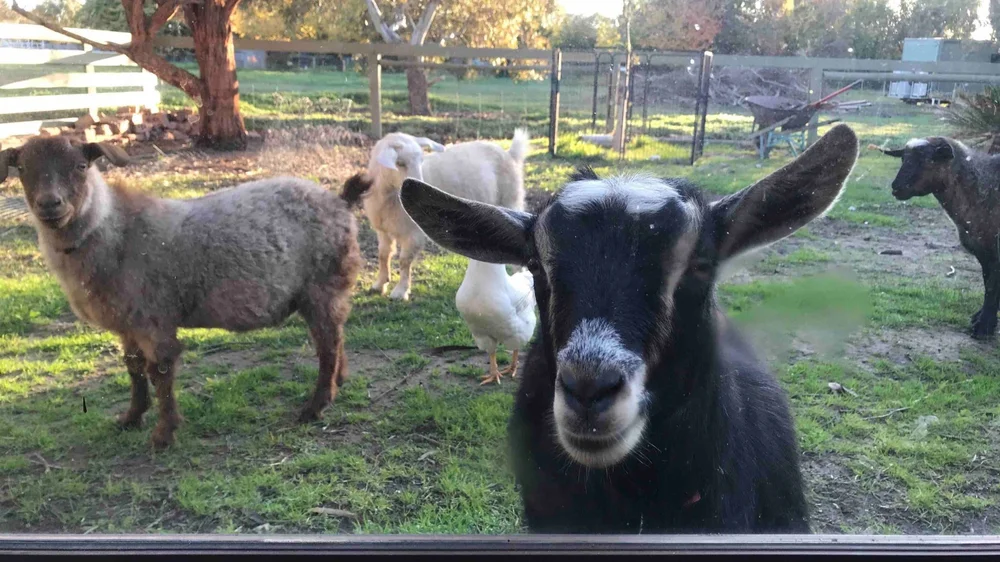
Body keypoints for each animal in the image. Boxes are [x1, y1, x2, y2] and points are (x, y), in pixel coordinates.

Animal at [0, 136, 367, 449]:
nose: (50, 205)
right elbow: (133, 368)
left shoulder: (153, 318)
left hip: (322, 285)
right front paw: (130, 418)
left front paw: (163, 435)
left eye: (80, 165)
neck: (115, 232)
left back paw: (316, 405)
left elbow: (159, 373)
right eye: (22, 168)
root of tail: (340, 200)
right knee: (335, 337)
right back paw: (340, 381)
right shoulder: (127, 322)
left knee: (327, 344)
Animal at [352, 129, 529, 301]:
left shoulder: (413, 233)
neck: (389, 196)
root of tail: (510, 153)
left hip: (510, 199)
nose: (417, 187)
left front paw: (401, 291)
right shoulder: (383, 230)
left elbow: (404, 261)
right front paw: (379, 284)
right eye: (400, 163)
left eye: (421, 160)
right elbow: (383, 255)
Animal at [874, 137, 1000, 340]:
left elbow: (992, 287)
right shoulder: (984, 251)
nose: (896, 188)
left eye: (928, 160)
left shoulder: (994, 250)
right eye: (903, 158)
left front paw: (983, 327)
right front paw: (981, 319)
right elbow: (988, 283)